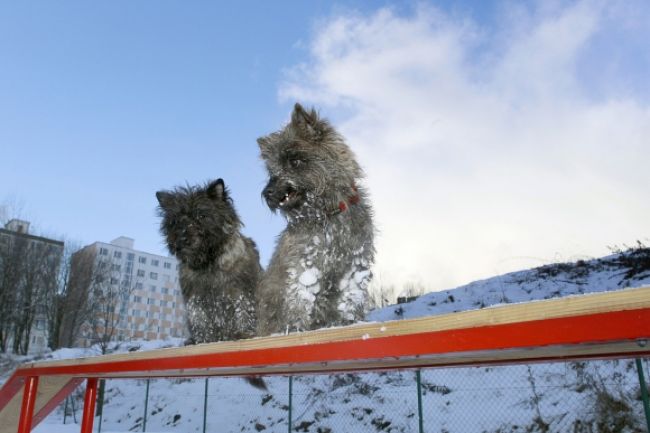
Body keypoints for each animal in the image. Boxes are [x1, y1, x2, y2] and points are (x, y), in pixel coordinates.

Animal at [155, 177, 260, 342]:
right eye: (176, 221)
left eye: (201, 216)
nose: (183, 239)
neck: (208, 263)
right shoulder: (195, 297)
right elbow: (200, 320)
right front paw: (202, 340)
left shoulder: (240, 289)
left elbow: (243, 310)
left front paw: (244, 333)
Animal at [254, 104, 372, 334]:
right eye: (272, 170)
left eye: (295, 161)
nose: (268, 193)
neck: (328, 215)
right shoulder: (305, 265)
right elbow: (300, 299)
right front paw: (297, 330)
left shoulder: (354, 265)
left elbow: (350, 298)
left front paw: (348, 322)